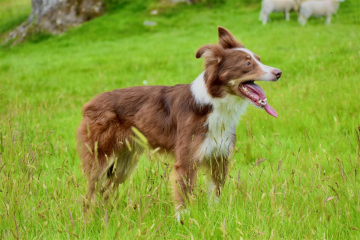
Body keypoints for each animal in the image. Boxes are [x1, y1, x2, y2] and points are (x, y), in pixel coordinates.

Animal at [77, 26, 282, 219]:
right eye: (247, 63)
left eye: (259, 59)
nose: (279, 72)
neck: (214, 105)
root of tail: (89, 104)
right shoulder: (186, 161)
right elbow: (184, 197)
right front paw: (183, 221)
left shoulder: (219, 158)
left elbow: (215, 195)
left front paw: (214, 215)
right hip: (100, 160)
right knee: (90, 195)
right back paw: (89, 220)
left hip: (124, 162)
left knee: (105, 191)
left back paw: (108, 216)